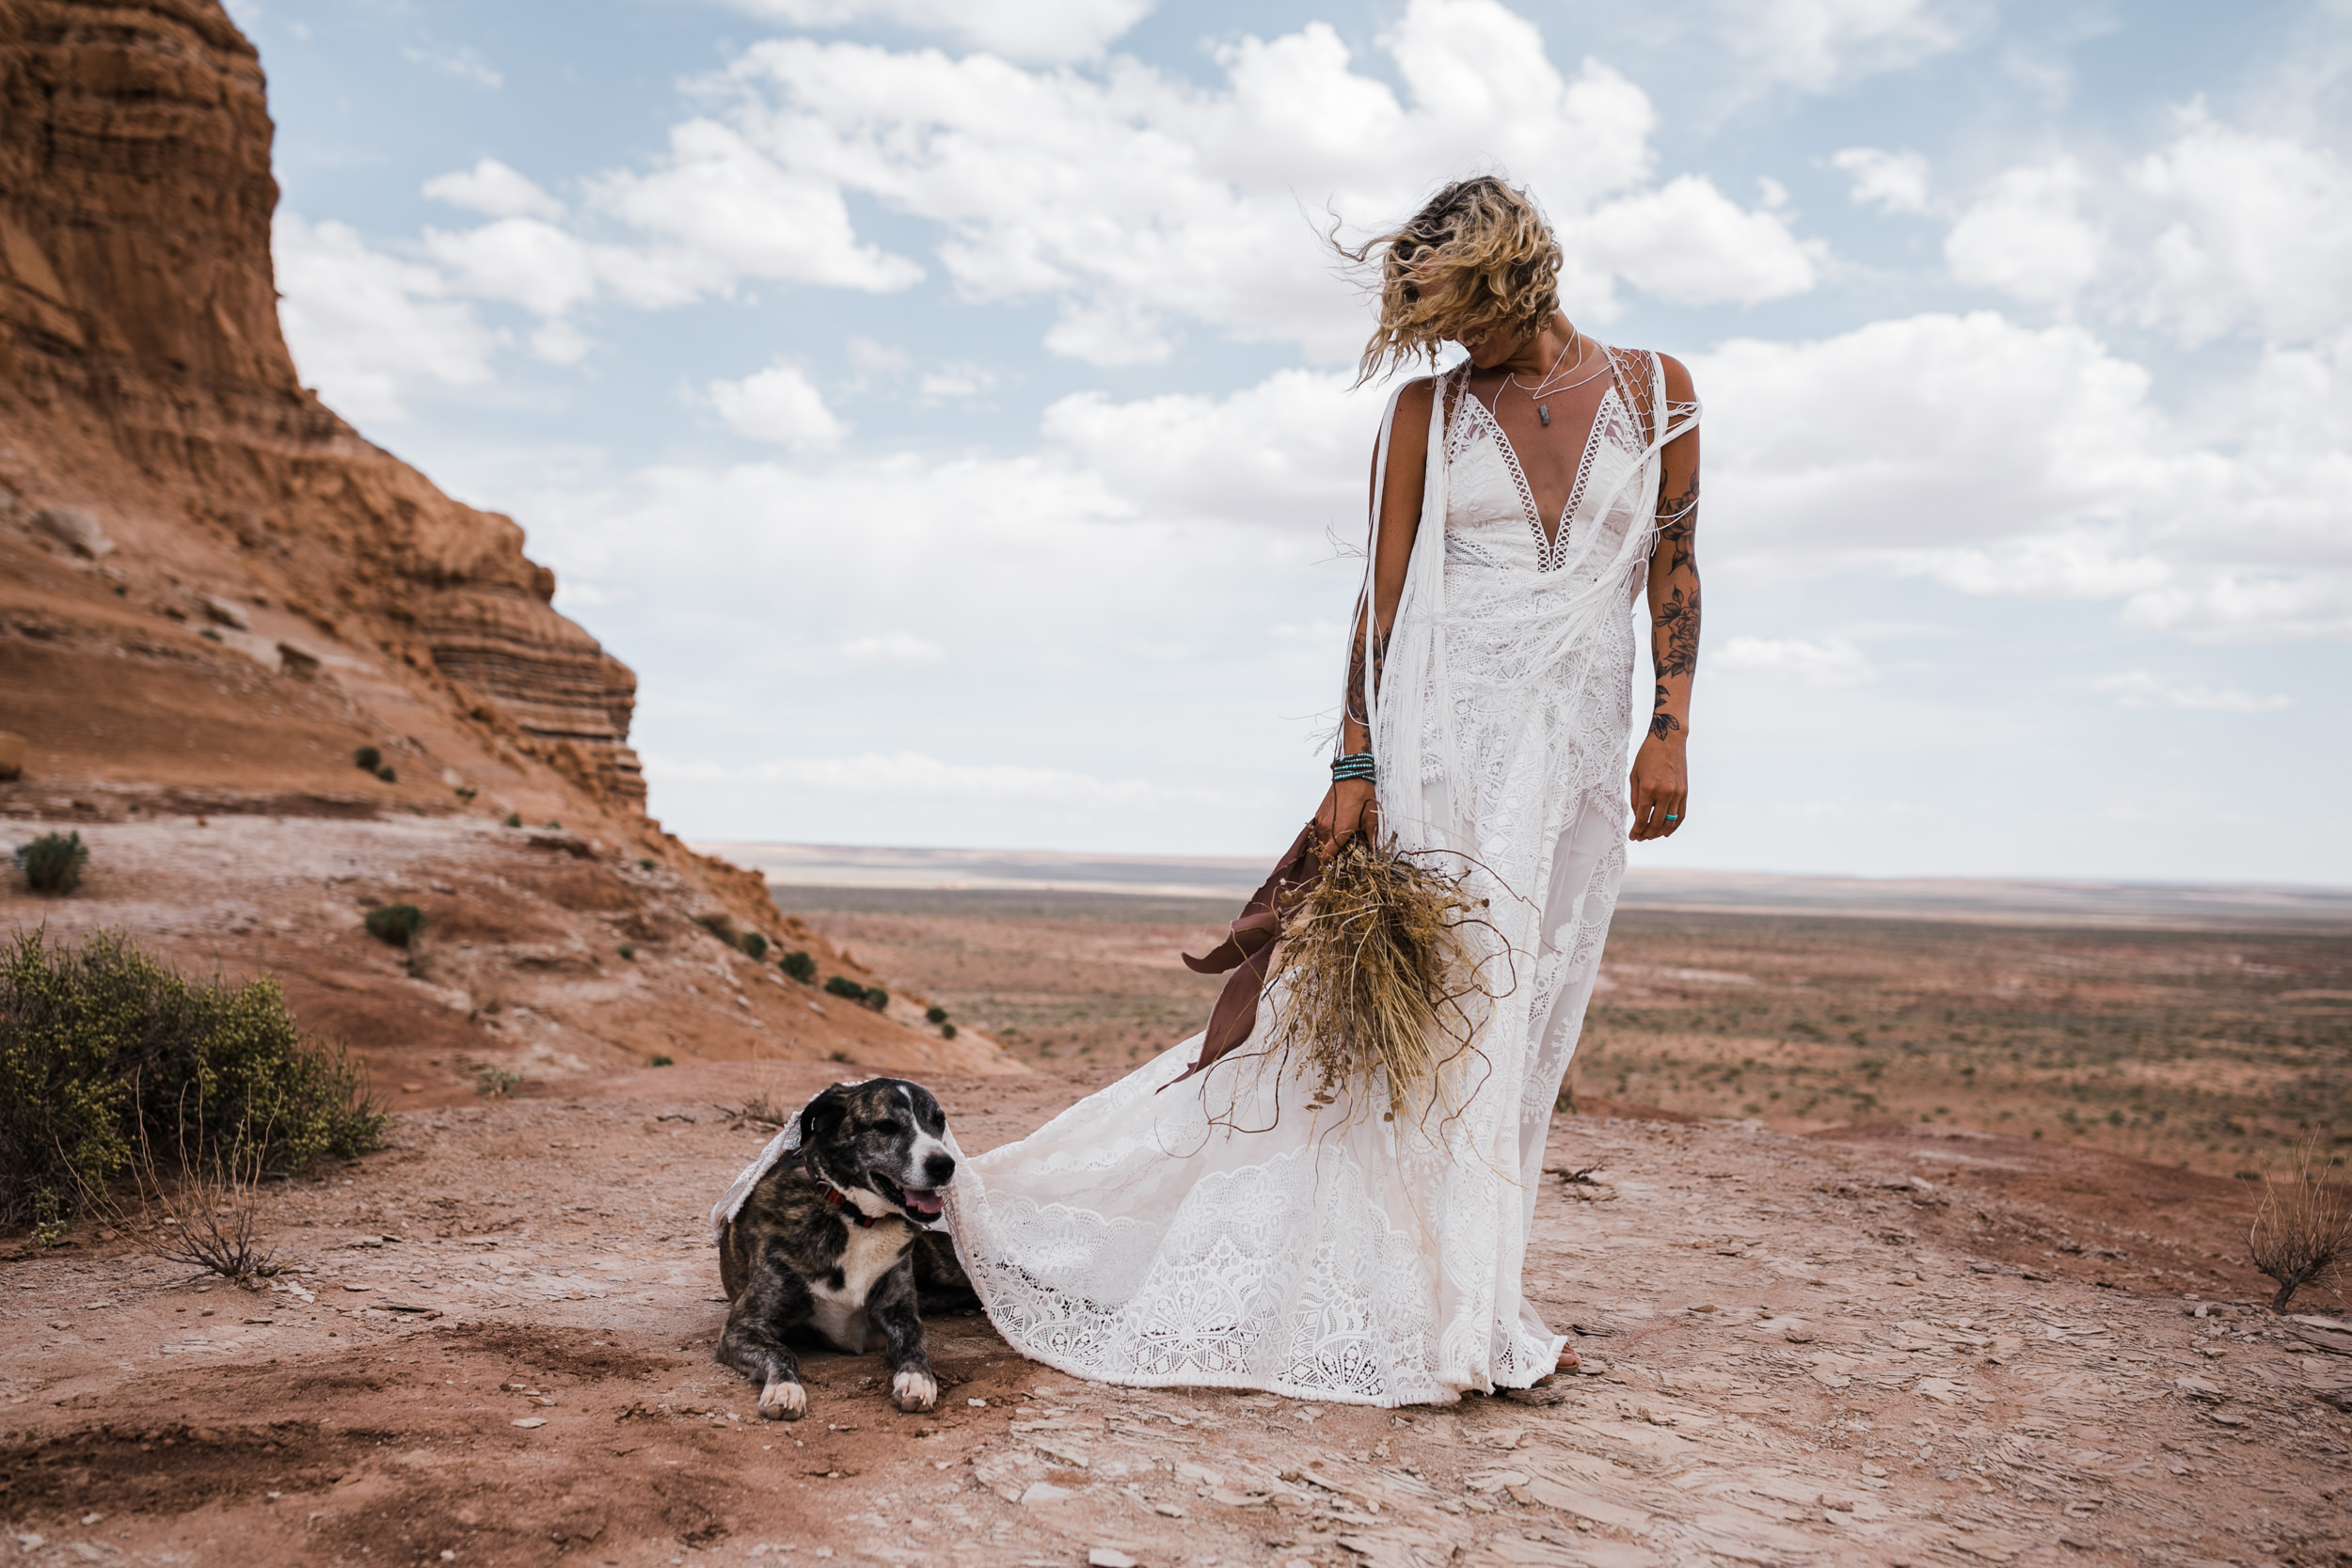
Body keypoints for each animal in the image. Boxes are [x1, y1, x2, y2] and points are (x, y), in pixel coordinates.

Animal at [715, 1081, 974, 1419]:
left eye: (938, 1121)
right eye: (885, 1126)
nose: (944, 1165)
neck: (857, 1218)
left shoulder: (900, 1310)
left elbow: (914, 1340)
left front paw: (917, 1379)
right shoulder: (741, 1327)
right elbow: (780, 1351)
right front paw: (784, 1388)